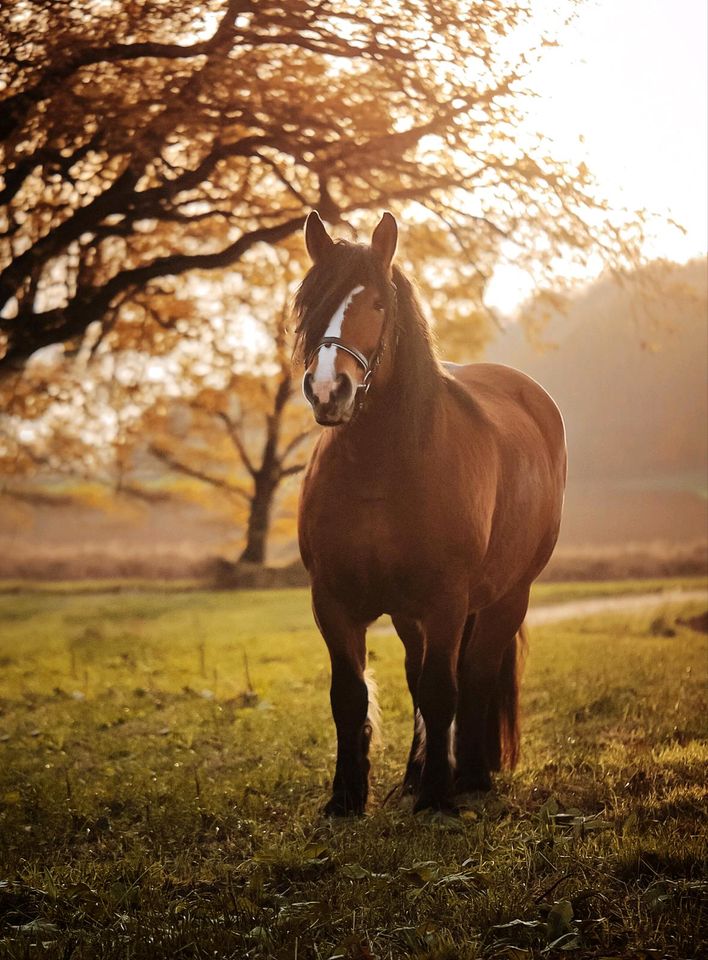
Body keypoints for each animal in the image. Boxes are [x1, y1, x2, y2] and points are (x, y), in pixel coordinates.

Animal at [296, 212, 568, 816]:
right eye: (311, 305)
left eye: (377, 304)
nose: (328, 390)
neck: (379, 470)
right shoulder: (333, 601)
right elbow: (350, 696)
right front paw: (346, 798)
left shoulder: (447, 600)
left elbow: (446, 690)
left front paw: (439, 799)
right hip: (409, 613)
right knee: (418, 677)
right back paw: (418, 774)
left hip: (508, 596)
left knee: (475, 673)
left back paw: (469, 775)